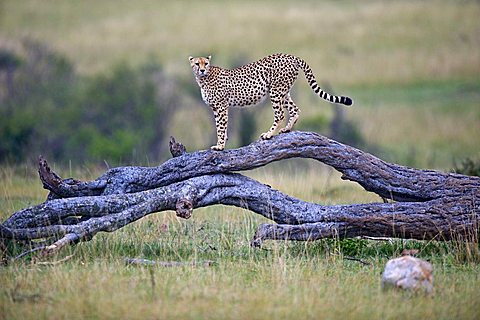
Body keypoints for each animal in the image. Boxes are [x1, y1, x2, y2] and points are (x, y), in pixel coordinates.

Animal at [189, 53, 354, 151]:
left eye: (206, 63)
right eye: (197, 64)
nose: (202, 70)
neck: (203, 78)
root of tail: (291, 56)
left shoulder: (221, 106)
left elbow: (220, 127)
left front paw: (220, 146)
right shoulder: (216, 108)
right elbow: (221, 126)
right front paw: (223, 142)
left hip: (275, 91)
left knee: (280, 114)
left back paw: (269, 134)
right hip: (283, 91)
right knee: (295, 109)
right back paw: (286, 129)